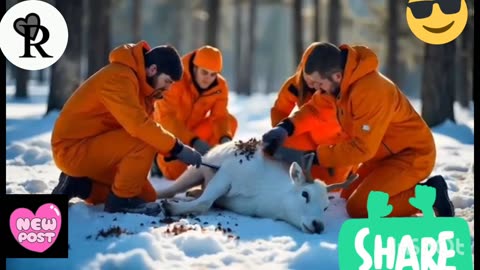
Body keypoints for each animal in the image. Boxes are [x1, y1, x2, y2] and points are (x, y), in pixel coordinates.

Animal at [158, 138, 356, 233]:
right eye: (305, 194)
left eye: (326, 207)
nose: (318, 225)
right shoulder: (225, 174)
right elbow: (205, 202)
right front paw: (172, 208)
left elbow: (207, 201)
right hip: (197, 168)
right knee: (174, 188)